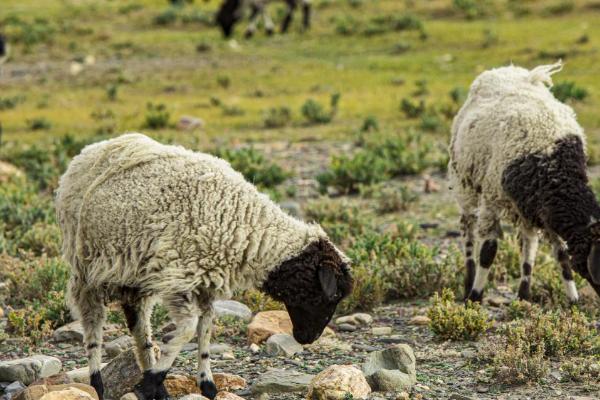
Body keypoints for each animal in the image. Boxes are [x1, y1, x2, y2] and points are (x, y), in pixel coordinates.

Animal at [55, 134, 352, 400]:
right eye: (334, 294)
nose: (308, 338)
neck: (246, 227)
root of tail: (91, 150)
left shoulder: (204, 282)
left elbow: (205, 329)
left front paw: (205, 385)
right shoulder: (178, 276)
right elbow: (188, 329)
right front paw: (151, 382)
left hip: (134, 275)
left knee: (139, 325)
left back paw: (156, 385)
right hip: (87, 266)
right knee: (93, 321)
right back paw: (98, 383)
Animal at [448, 61, 600, 304]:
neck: (551, 159)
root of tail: (505, 69)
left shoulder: (544, 209)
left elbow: (560, 253)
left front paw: (573, 299)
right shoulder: (491, 199)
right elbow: (488, 250)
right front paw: (475, 296)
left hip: (524, 208)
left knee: (528, 244)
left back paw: (524, 293)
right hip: (465, 184)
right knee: (468, 230)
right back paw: (468, 281)